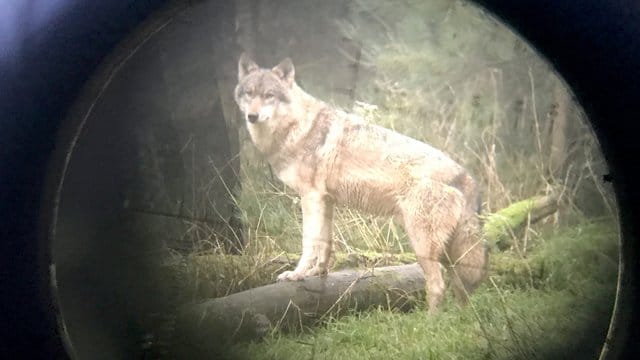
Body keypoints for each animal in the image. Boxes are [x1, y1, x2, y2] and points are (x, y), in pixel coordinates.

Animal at [235, 53, 490, 312]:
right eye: (249, 93)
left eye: (269, 95)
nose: (252, 116)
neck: (298, 127)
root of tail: (466, 177)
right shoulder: (326, 201)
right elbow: (325, 243)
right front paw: (318, 273)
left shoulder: (310, 198)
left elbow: (309, 243)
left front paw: (296, 275)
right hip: (448, 254)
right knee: (462, 290)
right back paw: (459, 319)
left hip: (422, 246)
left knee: (438, 286)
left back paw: (430, 321)